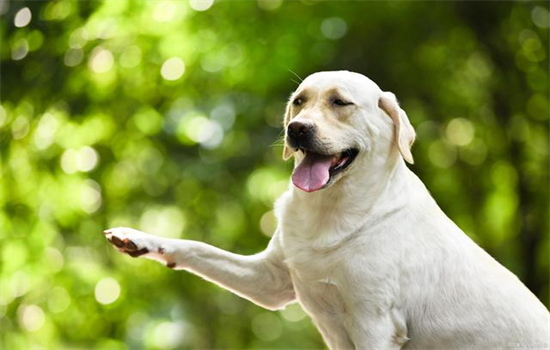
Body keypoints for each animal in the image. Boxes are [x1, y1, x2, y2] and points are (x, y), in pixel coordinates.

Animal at [104, 71, 550, 350]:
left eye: (340, 102)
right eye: (299, 102)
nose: (296, 129)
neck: (333, 210)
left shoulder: (374, 323)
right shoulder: (270, 281)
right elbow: (197, 248)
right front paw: (139, 239)